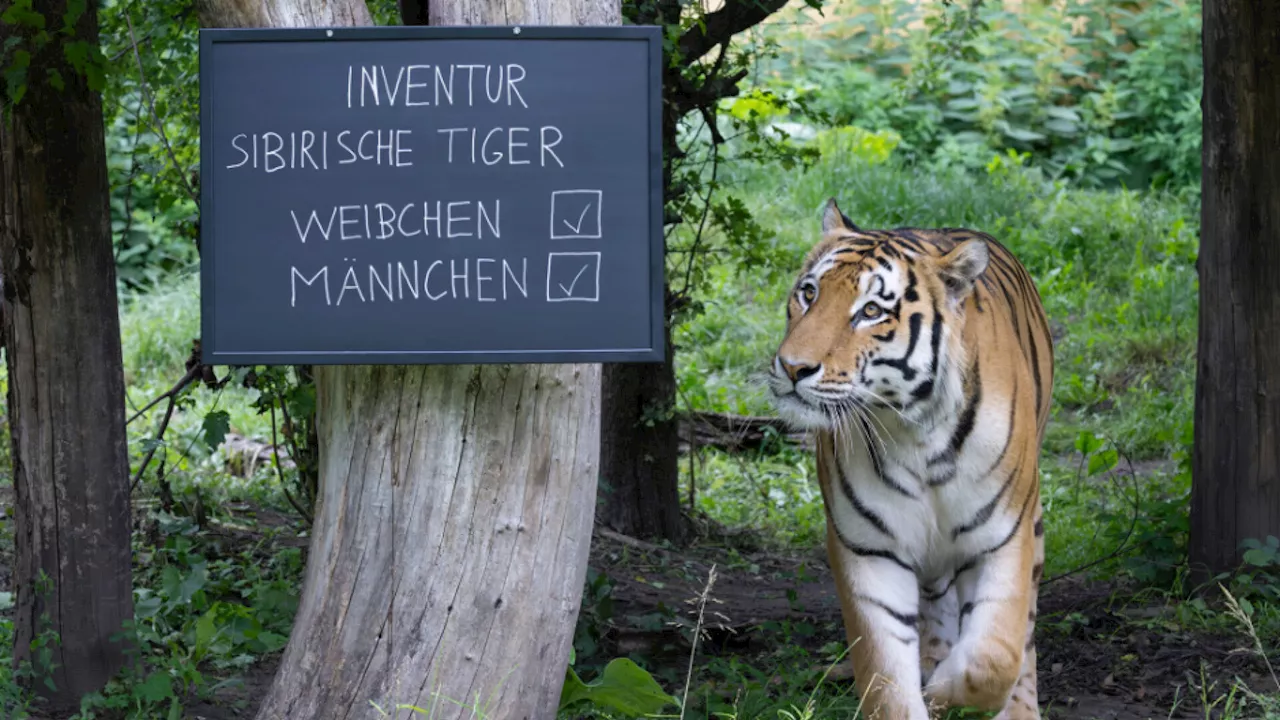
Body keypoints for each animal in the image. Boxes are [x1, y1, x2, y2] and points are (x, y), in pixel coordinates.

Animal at [768, 197, 1049, 717]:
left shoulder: (1001, 536)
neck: (915, 430)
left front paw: (943, 688)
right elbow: (886, 680)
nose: (793, 367)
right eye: (808, 293)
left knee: (1023, 637)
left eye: (871, 311)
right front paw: (928, 685)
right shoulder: (869, 548)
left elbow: (995, 657)